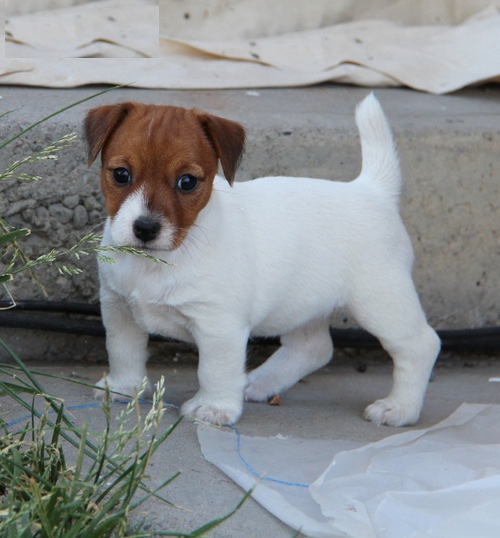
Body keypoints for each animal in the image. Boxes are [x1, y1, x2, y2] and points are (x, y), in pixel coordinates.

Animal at [84, 93, 440, 427]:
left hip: (380, 301)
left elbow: (214, 370)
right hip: (304, 302)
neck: (158, 262)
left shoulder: (219, 325)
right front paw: (123, 388)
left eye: (187, 182)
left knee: (420, 345)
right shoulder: (118, 310)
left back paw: (399, 408)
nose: (145, 228)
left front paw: (213, 407)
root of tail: (372, 191)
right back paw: (259, 382)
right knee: (313, 347)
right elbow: (123, 353)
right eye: (121, 175)